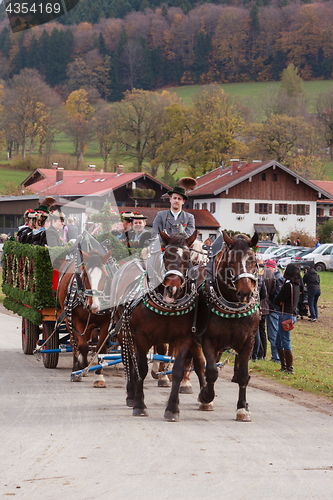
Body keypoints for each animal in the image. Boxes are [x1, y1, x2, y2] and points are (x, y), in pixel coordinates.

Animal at [57, 249, 113, 386]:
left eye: (104, 276)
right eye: (86, 276)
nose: (94, 306)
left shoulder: (106, 321)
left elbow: (101, 348)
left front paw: (99, 375)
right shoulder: (76, 320)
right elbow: (82, 346)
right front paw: (81, 366)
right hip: (68, 319)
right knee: (73, 343)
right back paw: (76, 367)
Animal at [110, 230, 206, 422]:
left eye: (187, 258)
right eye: (166, 256)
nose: (172, 290)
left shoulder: (184, 338)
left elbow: (177, 370)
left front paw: (173, 408)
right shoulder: (141, 336)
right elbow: (141, 368)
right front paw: (140, 405)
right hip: (124, 332)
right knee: (128, 360)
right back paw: (131, 395)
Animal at [196, 232, 260, 420]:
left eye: (253, 260)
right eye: (231, 262)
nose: (245, 293)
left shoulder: (248, 342)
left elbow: (243, 375)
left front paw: (242, 407)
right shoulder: (207, 340)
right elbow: (211, 371)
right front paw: (206, 396)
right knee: (196, 364)